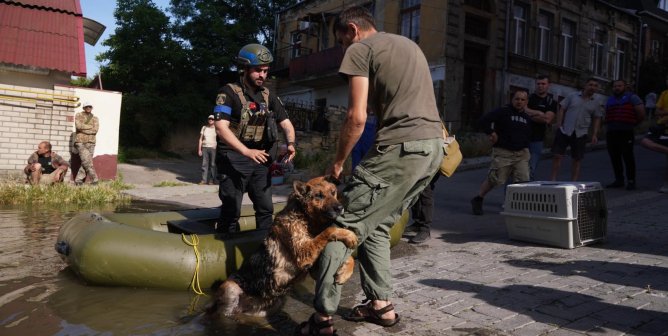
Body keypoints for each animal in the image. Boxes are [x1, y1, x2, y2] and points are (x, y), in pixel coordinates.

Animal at [206, 176, 358, 318]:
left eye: (333, 192)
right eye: (319, 196)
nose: (340, 208)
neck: (304, 217)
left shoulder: (313, 266)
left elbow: (351, 259)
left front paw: (345, 272)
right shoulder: (304, 252)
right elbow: (328, 231)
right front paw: (349, 234)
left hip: (271, 306)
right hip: (230, 289)